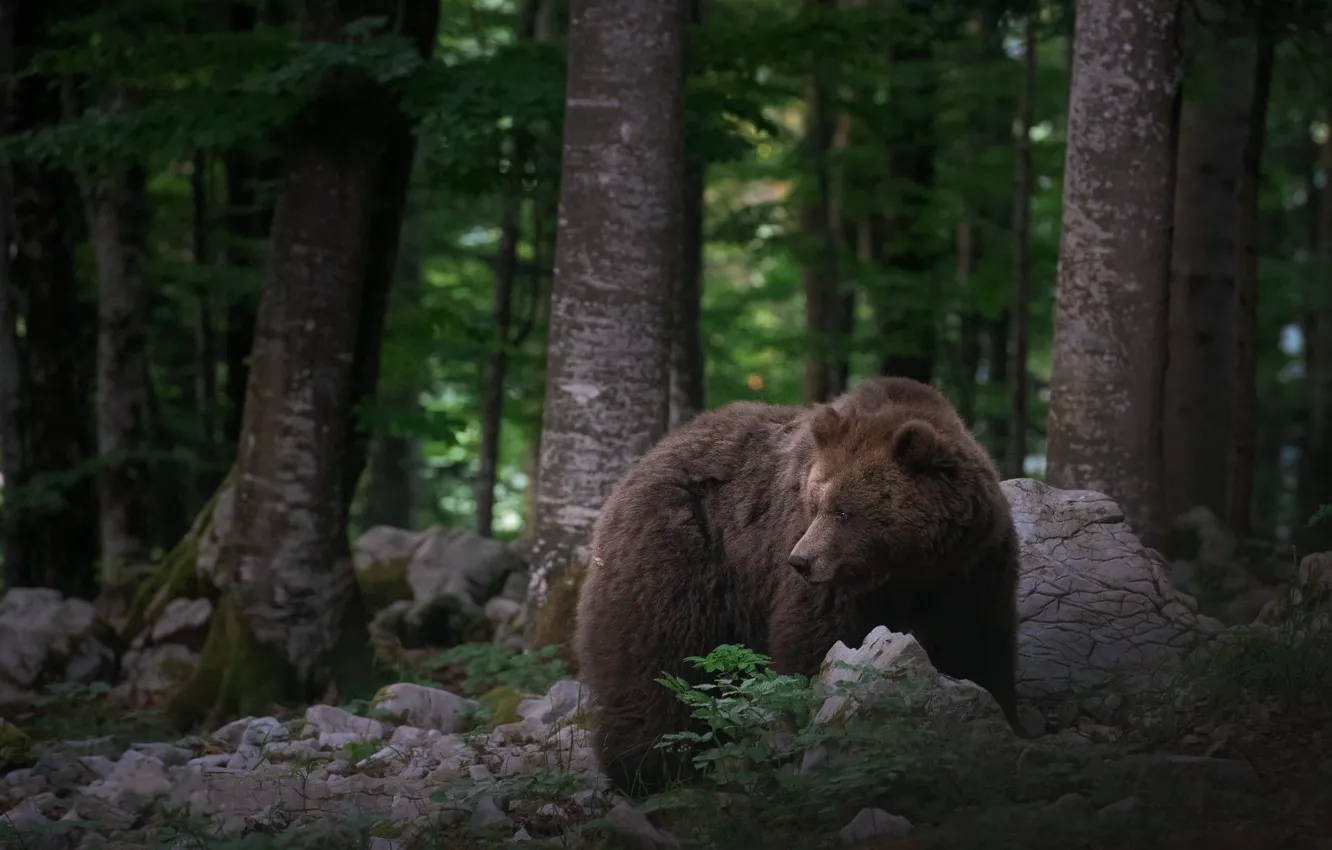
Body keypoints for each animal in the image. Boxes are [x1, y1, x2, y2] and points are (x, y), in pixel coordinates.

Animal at [572, 376, 1020, 797]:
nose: (801, 560)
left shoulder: (970, 570)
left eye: (843, 511)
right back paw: (646, 769)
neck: (906, 570)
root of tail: (645, 459)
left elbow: (976, 646)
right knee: (656, 660)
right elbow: (816, 645)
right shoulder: (831, 584)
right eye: (815, 500)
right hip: (678, 553)